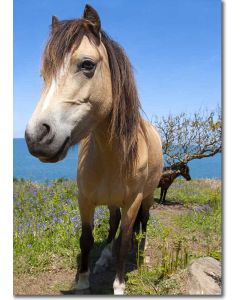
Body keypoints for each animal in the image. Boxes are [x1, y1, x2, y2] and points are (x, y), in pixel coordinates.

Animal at [24, 5, 163, 296]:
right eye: (44, 74)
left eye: (87, 64)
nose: (36, 136)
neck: (112, 155)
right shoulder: (85, 199)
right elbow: (86, 238)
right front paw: (83, 279)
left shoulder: (133, 202)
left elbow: (126, 239)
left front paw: (119, 284)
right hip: (111, 201)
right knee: (113, 223)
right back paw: (105, 258)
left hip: (146, 198)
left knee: (143, 223)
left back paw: (142, 253)